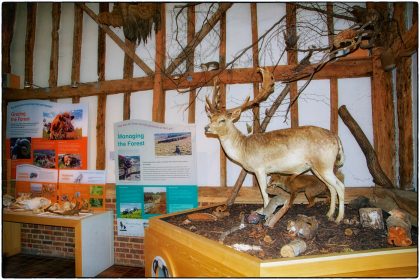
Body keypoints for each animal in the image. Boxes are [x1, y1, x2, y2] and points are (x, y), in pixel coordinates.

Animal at [205, 68, 346, 223]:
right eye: (211, 118)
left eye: (222, 120)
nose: (206, 128)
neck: (243, 150)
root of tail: (335, 137)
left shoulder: (260, 168)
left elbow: (264, 193)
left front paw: (266, 214)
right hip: (317, 167)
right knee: (331, 187)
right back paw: (329, 214)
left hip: (324, 163)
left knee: (340, 186)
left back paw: (339, 218)